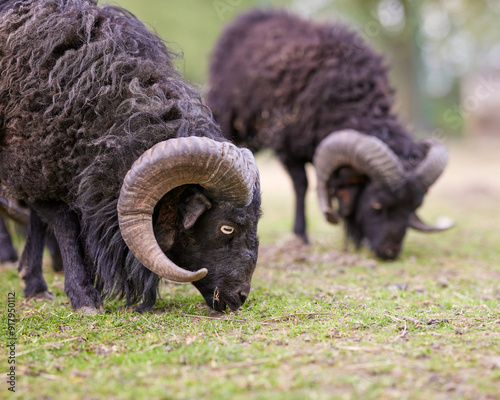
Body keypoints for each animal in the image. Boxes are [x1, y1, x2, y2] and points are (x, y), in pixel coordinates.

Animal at [0, 0, 264, 312]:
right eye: (227, 228)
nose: (240, 298)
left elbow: (41, 221)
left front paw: (34, 284)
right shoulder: (32, 156)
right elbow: (62, 222)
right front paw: (83, 296)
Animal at [207, 9, 450, 260]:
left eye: (415, 207)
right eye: (377, 204)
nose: (389, 253)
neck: (349, 98)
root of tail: (255, 15)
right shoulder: (289, 146)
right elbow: (302, 186)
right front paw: (301, 236)